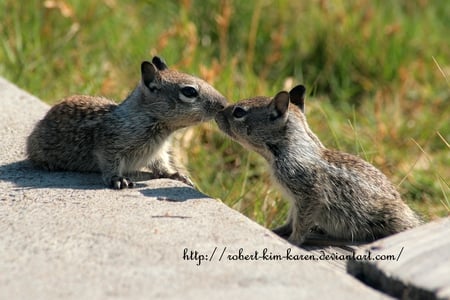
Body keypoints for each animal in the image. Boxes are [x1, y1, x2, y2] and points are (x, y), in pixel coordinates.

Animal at [26, 55, 227, 190]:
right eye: (189, 91)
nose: (224, 104)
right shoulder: (109, 144)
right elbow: (110, 163)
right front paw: (117, 179)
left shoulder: (158, 152)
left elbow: (161, 165)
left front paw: (176, 175)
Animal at [214, 85, 422, 246]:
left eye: (239, 112)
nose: (217, 113)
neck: (291, 148)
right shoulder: (295, 200)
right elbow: (292, 218)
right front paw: (279, 230)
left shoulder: (309, 195)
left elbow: (301, 223)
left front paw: (293, 241)